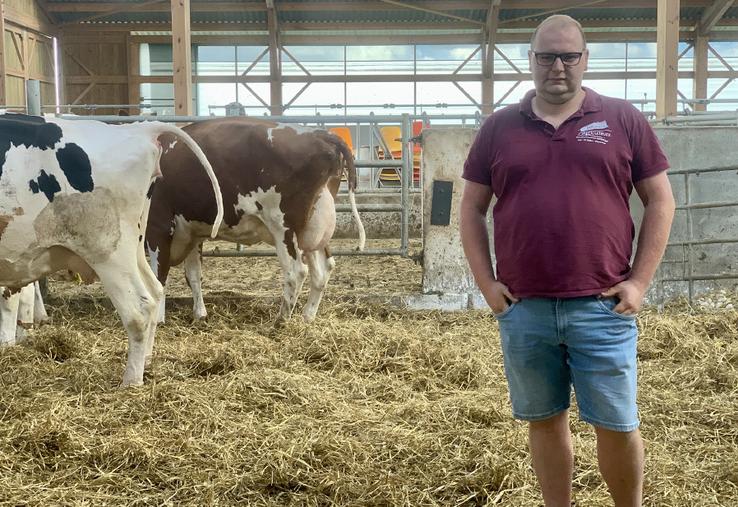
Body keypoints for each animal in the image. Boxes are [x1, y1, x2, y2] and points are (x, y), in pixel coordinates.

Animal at [0, 114, 224, 384]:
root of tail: (138, 129)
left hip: (108, 252)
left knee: (139, 308)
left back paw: (131, 381)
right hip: (134, 245)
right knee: (155, 291)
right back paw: (146, 360)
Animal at [145, 117, 364, 324]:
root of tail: (318, 134)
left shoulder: (157, 226)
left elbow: (158, 277)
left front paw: (158, 320)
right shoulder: (192, 231)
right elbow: (193, 275)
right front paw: (200, 315)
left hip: (283, 226)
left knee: (296, 271)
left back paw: (281, 320)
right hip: (314, 227)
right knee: (323, 269)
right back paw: (307, 316)